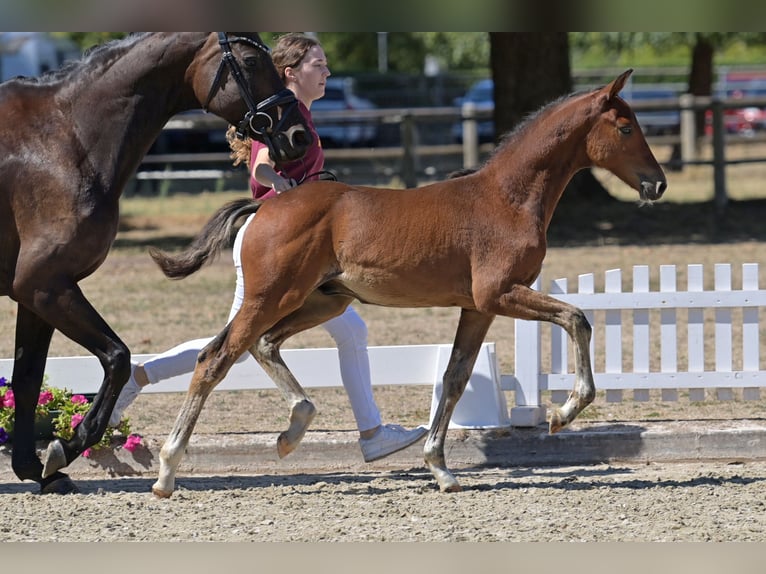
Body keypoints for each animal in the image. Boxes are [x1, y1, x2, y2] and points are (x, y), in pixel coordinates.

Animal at [0, 32, 312, 494]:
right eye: (252, 61)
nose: (298, 134)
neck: (64, 138)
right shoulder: (45, 285)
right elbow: (117, 357)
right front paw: (65, 447)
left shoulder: (37, 293)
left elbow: (26, 378)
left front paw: (36, 467)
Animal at [147, 69, 667, 496]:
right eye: (626, 128)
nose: (657, 183)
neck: (507, 198)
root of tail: (264, 207)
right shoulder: (499, 293)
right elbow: (577, 318)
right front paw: (563, 413)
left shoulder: (478, 307)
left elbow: (455, 377)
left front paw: (440, 468)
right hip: (271, 296)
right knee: (215, 358)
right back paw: (167, 471)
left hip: (321, 303)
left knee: (263, 345)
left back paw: (292, 431)